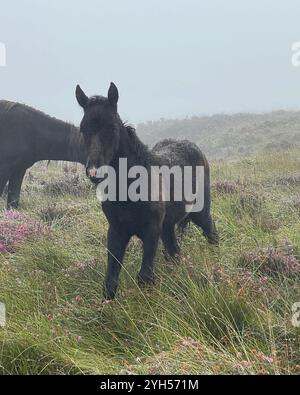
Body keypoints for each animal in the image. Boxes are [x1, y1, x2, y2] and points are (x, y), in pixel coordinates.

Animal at [75, 83, 218, 300]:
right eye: (83, 129)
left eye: (112, 127)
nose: (94, 172)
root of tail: (192, 145)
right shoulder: (116, 231)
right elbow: (110, 283)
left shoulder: (151, 230)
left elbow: (145, 277)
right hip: (167, 226)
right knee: (175, 253)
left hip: (199, 212)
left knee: (211, 233)